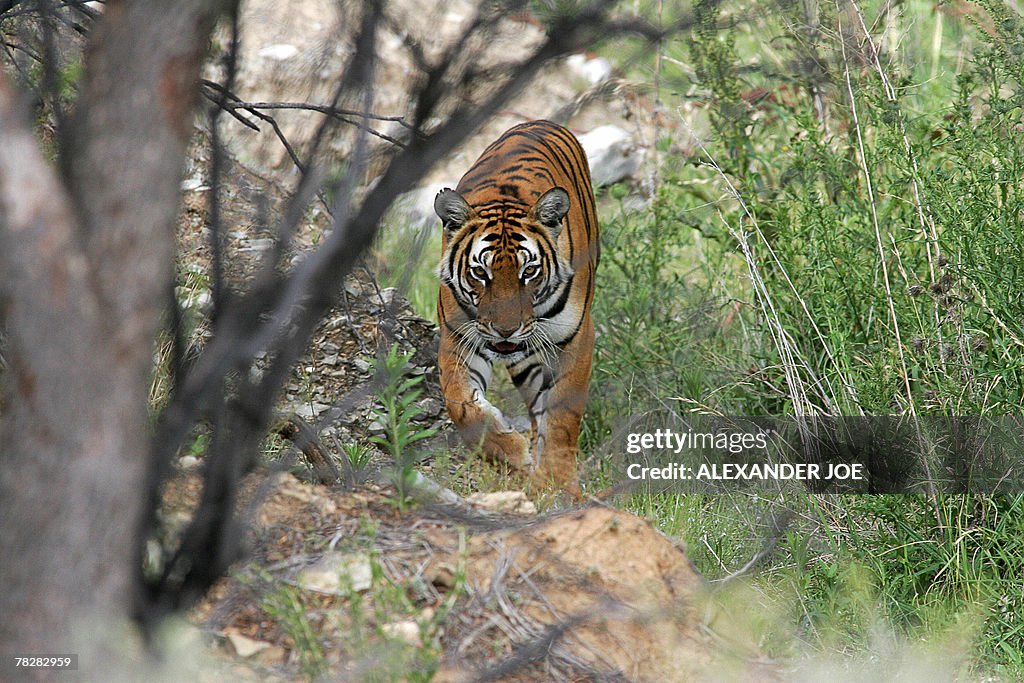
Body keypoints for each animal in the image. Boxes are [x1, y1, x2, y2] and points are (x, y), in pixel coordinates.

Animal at [434, 120, 598, 497]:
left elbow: (563, 419)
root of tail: (536, 121)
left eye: (529, 271)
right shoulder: (457, 339)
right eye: (481, 273)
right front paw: (513, 455)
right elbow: (461, 405)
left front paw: (559, 485)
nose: (506, 331)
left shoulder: (577, 339)